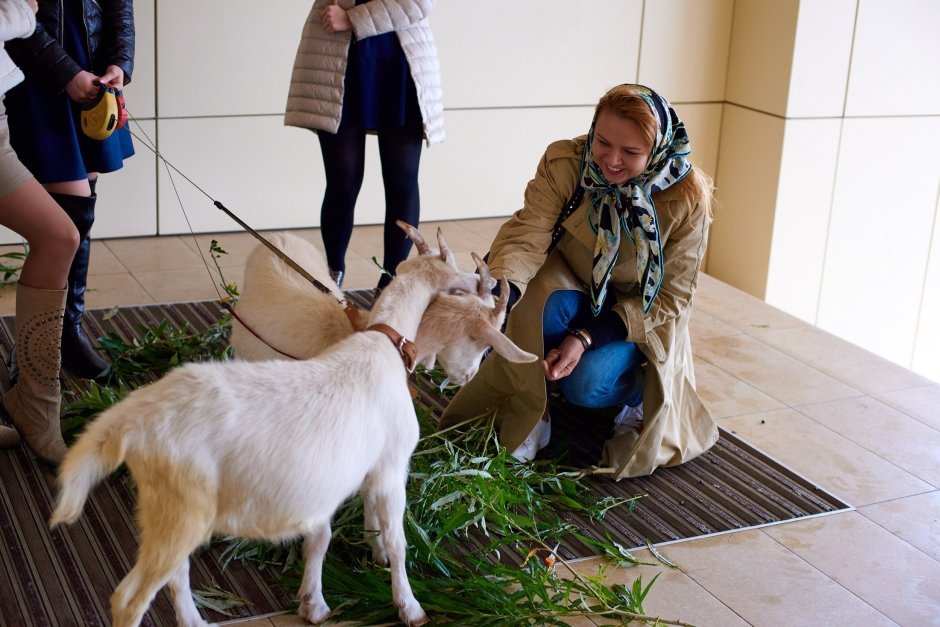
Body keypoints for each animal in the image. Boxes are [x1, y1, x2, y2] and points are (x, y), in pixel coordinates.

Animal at [49, 226, 536, 627]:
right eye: (482, 342)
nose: (468, 377)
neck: (379, 340)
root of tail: (136, 415)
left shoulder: (345, 470)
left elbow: (330, 534)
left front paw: (319, 597)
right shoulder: (391, 465)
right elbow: (395, 540)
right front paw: (409, 607)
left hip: (170, 512)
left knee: (175, 573)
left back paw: (196, 622)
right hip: (182, 505)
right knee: (129, 598)